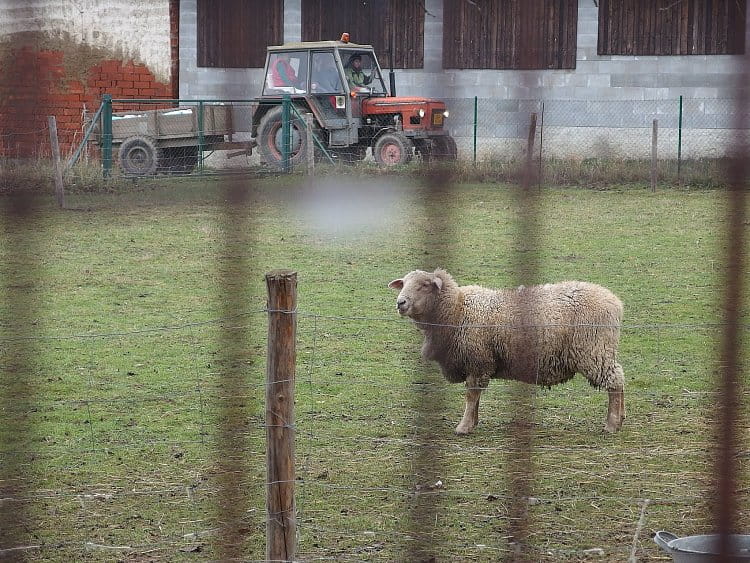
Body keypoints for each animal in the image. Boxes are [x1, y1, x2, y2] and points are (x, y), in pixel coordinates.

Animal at [388, 270, 628, 434]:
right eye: (404, 284)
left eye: (424, 285)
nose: (400, 302)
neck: (457, 310)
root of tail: (615, 302)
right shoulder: (479, 364)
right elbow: (476, 397)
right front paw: (473, 422)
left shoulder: (478, 360)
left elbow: (471, 395)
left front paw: (463, 427)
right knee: (619, 378)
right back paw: (621, 418)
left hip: (593, 351)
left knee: (614, 381)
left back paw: (611, 424)